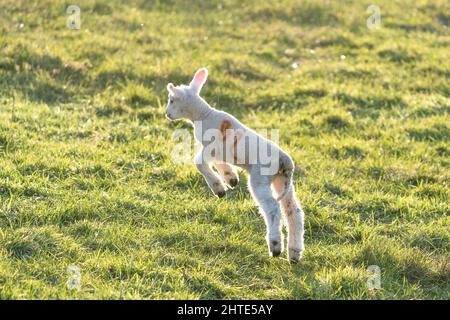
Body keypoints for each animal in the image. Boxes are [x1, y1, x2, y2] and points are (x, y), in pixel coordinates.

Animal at [165, 67, 306, 262]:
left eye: (171, 100)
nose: (167, 114)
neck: (204, 114)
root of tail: (285, 161)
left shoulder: (213, 147)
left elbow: (199, 162)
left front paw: (218, 187)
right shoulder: (219, 151)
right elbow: (218, 163)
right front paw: (230, 179)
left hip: (260, 178)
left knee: (273, 208)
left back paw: (275, 246)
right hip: (282, 182)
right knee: (294, 212)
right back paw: (294, 253)